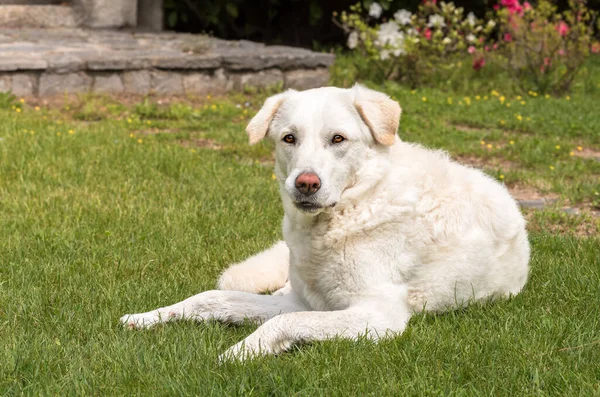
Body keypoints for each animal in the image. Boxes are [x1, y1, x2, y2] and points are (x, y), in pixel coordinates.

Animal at [122, 85, 528, 360]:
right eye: (289, 138)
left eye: (338, 139)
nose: (305, 183)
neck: (352, 208)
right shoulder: (303, 302)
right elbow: (207, 298)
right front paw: (147, 317)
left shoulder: (376, 315)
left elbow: (280, 324)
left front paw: (238, 353)